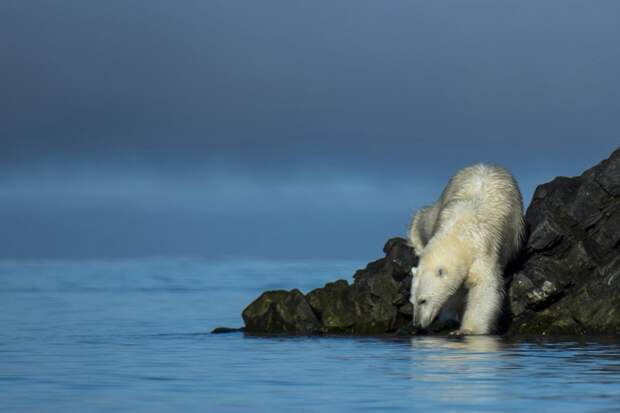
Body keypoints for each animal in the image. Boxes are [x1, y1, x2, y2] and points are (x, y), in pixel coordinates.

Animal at [410, 163, 524, 334]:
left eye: (423, 300)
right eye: (412, 301)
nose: (416, 324)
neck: (459, 233)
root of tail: (486, 164)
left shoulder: (483, 251)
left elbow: (484, 288)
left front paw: (466, 330)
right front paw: (451, 317)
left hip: (515, 224)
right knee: (426, 217)